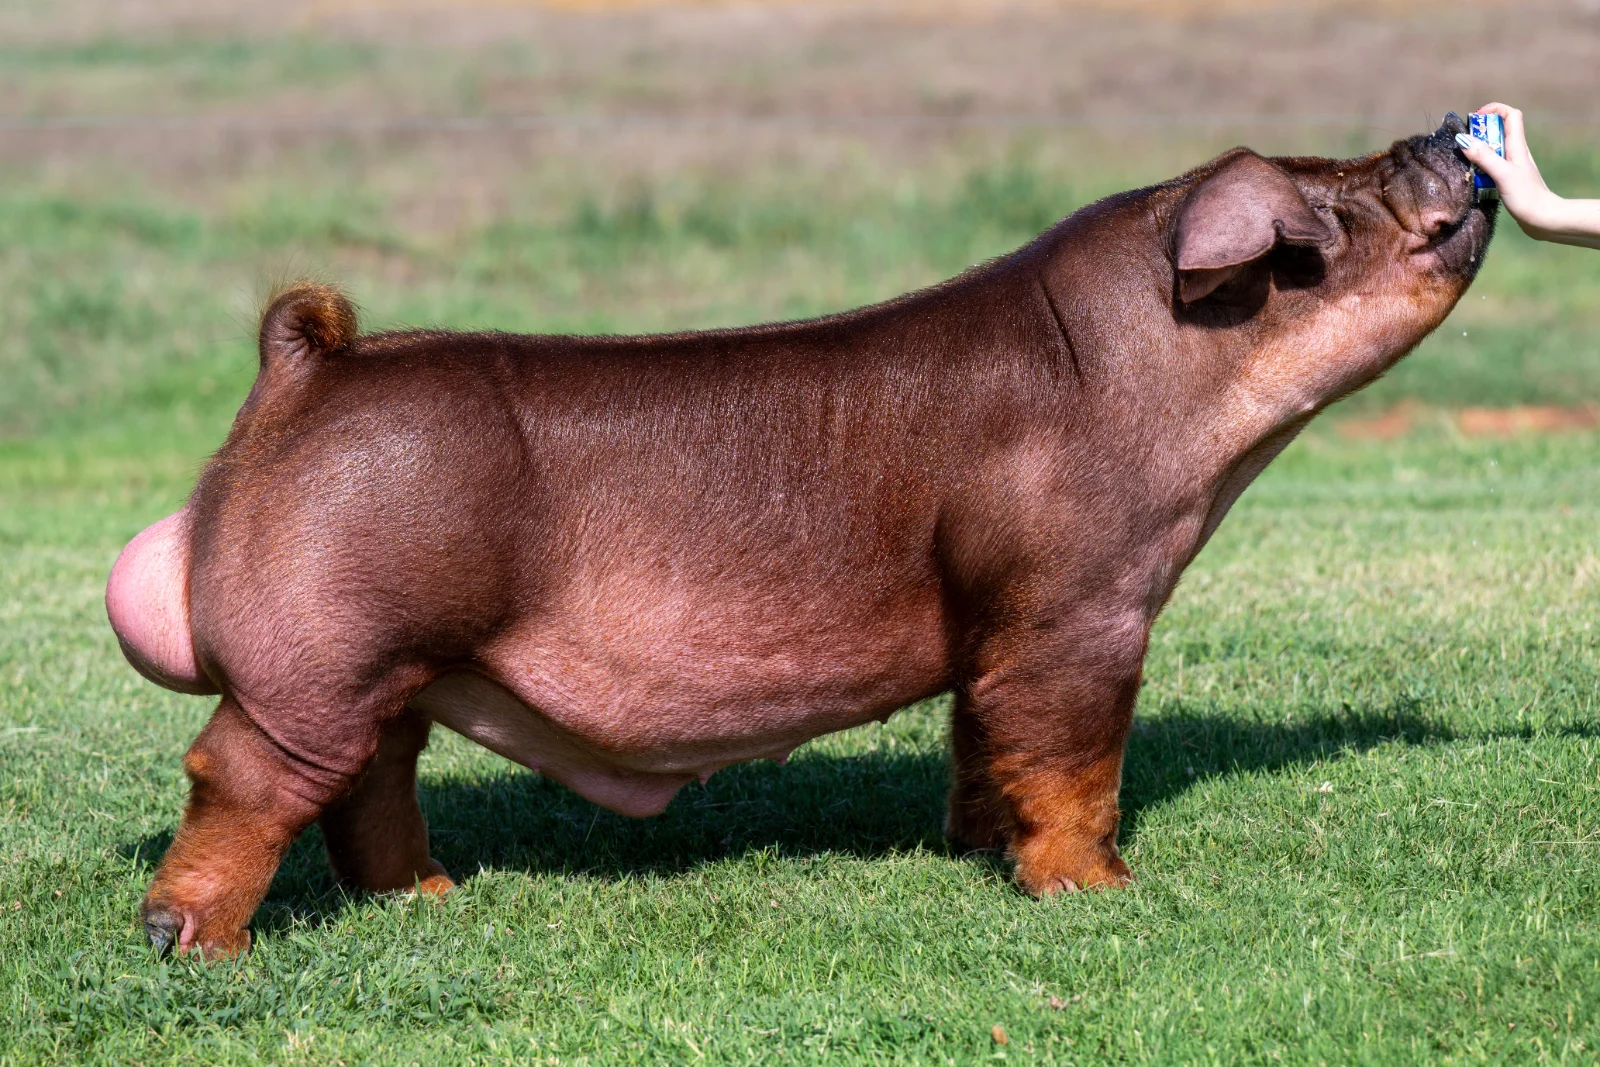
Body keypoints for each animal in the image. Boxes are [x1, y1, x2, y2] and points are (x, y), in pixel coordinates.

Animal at [108, 116, 1494, 957]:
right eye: (1337, 196)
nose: (1446, 135)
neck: (1139, 376)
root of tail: (310, 366)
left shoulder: (989, 631)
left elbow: (983, 736)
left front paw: (973, 848)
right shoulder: (1075, 601)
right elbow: (1072, 752)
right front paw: (1097, 891)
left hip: (389, 671)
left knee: (369, 782)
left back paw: (432, 898)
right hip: (323, 654)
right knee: (243, 773)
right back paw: (197, 945)